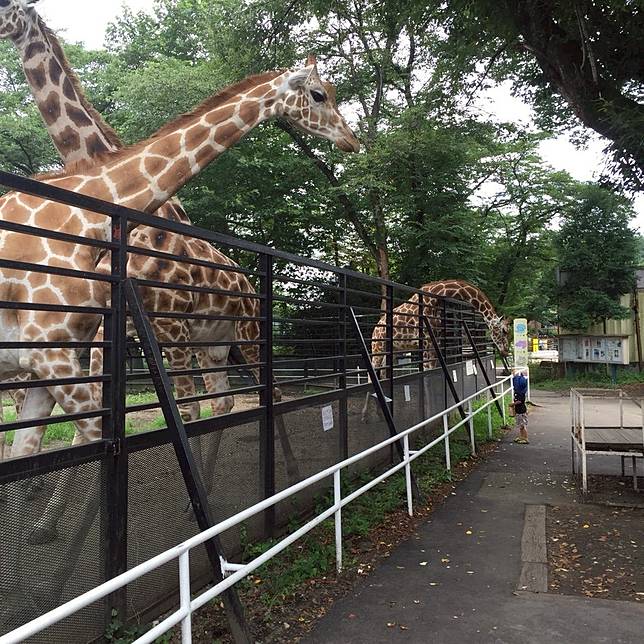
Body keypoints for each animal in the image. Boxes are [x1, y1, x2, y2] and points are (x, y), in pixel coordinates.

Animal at [0, 0, 296, 470]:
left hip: (246, 333)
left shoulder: (166, 327)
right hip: (212, 344)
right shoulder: (114, 330)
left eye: (8, 7)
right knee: (225, 402)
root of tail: (249, 285)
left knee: (271, 393)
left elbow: (182, 412)